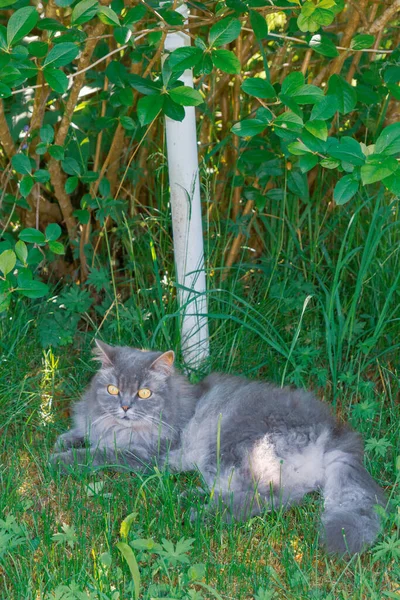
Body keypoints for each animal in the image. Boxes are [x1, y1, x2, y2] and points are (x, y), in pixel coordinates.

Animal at [51, 340, 386, 556]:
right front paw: (65, 441)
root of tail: (334, 432)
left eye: (144, 393)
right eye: (112, 389)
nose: (124, 407)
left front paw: (61, 460)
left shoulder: (146, 456)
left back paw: (200, 513)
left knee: (266, 498)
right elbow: (82, 434)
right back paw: (188, 497)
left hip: (234, 449)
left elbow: (99, 455)